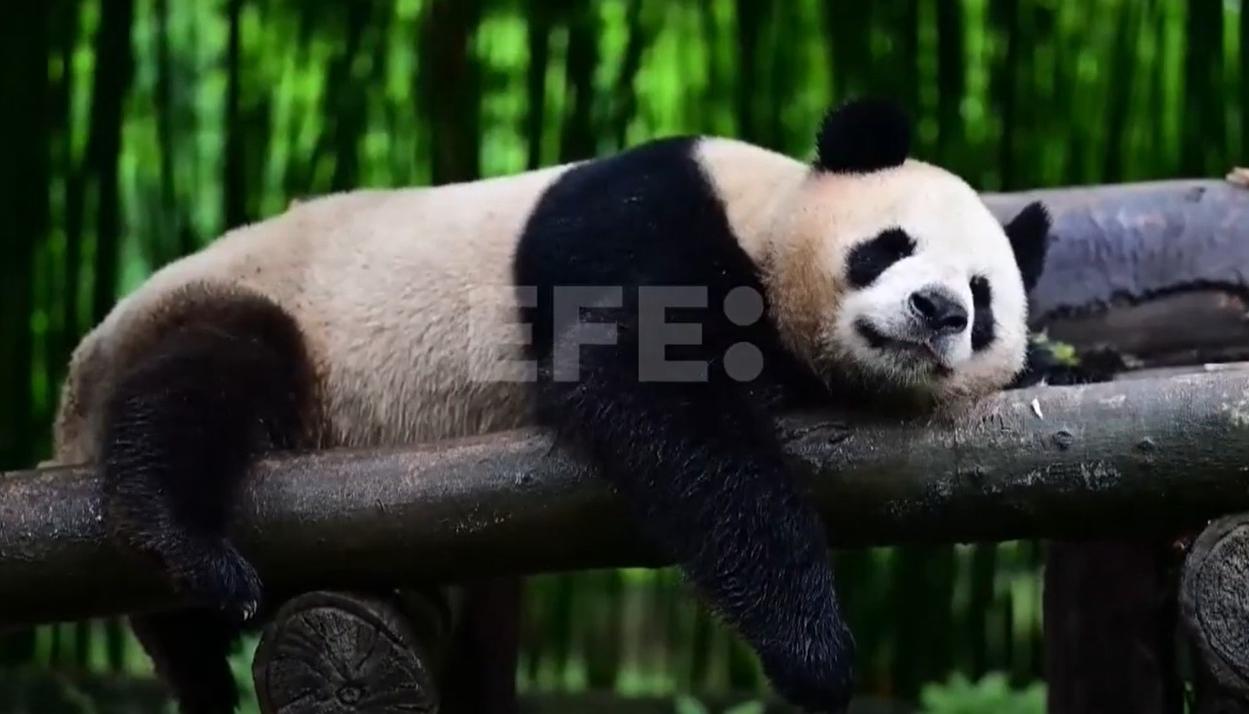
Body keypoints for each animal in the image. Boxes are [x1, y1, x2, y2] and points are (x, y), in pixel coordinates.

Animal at [48, 101, 1044, 714]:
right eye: (890, 245)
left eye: (982, 296)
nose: (938, 311)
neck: (760, 214)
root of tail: (74, 390)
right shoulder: (641, 218)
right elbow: (647, 387)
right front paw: (814, 651)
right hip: (257, 313)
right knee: (202, 383)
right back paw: (187, 545)